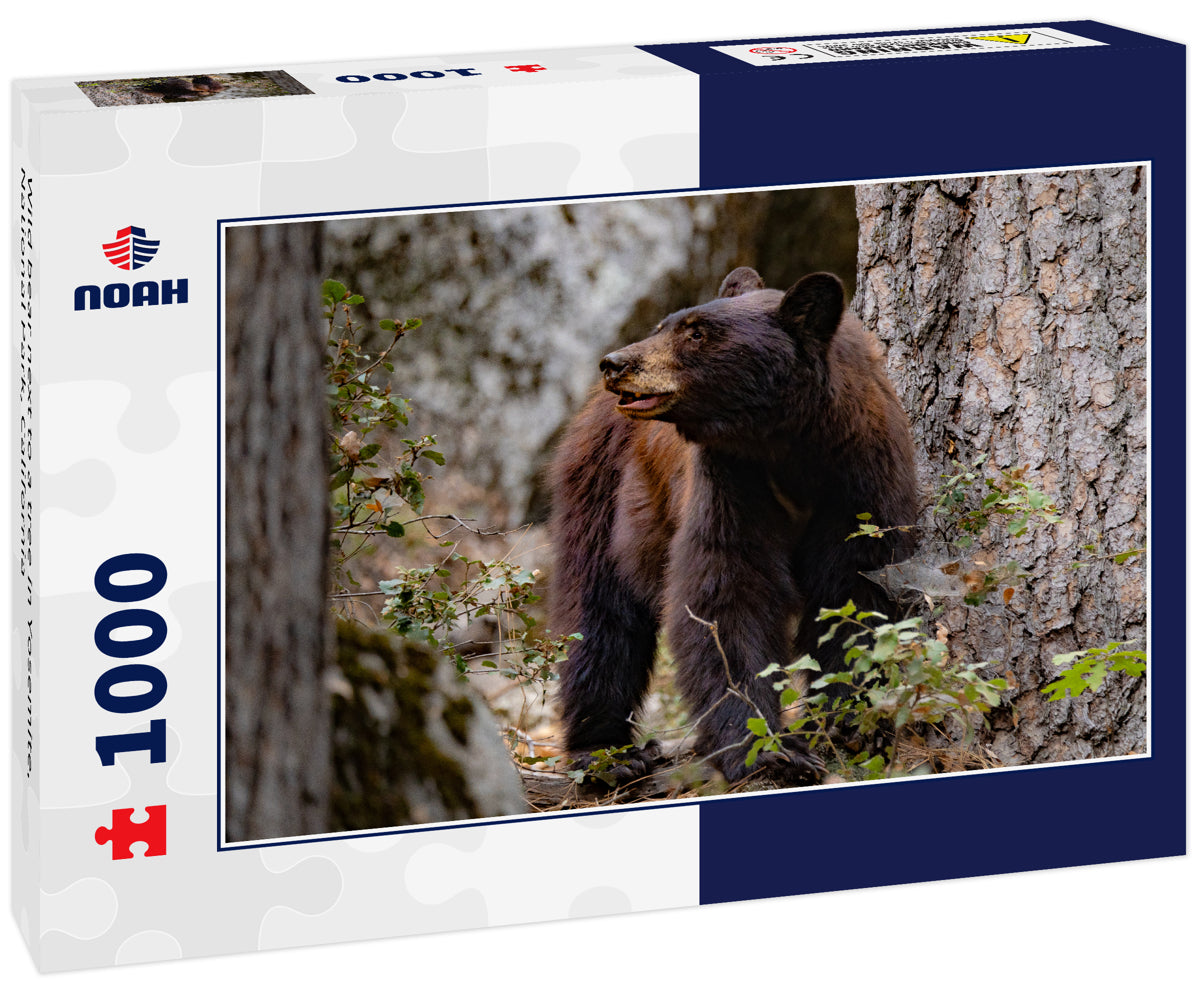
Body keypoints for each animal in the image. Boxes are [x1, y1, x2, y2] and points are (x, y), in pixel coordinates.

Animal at [549, 267, 918, 785]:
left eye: (697, 333)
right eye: (664, 325)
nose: (615, 363)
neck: (787, 445)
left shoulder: (862, 478)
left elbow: (856, 590)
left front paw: (850, 723)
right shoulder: (729, 480)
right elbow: (726, 593)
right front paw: (767, 749)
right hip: (602, 488)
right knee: (598, 614)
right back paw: (608, 753)